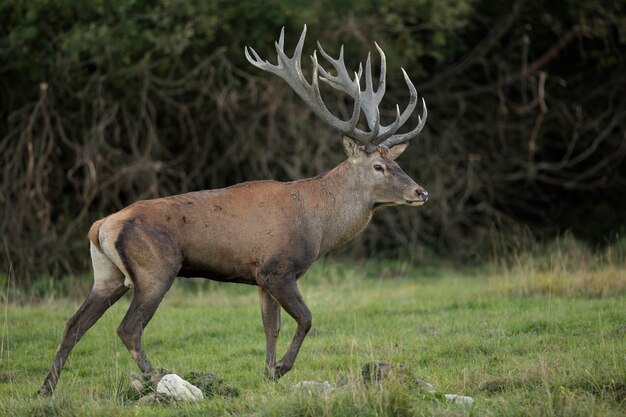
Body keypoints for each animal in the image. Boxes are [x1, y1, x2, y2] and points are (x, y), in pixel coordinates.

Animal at [39, 25, 426, 394]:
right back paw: (157, 377)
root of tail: (100, 226)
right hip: (155, 269)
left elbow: (271, 326)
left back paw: (47, 388)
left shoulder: (260, 276)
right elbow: (306, 318)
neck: (317, 221)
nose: (421, 192)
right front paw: (281, 369)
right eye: (378, 166)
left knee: (74, 323)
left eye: (397, 162)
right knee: (128, 328)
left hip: (107, 275)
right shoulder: (278, 268)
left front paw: (268, 374)